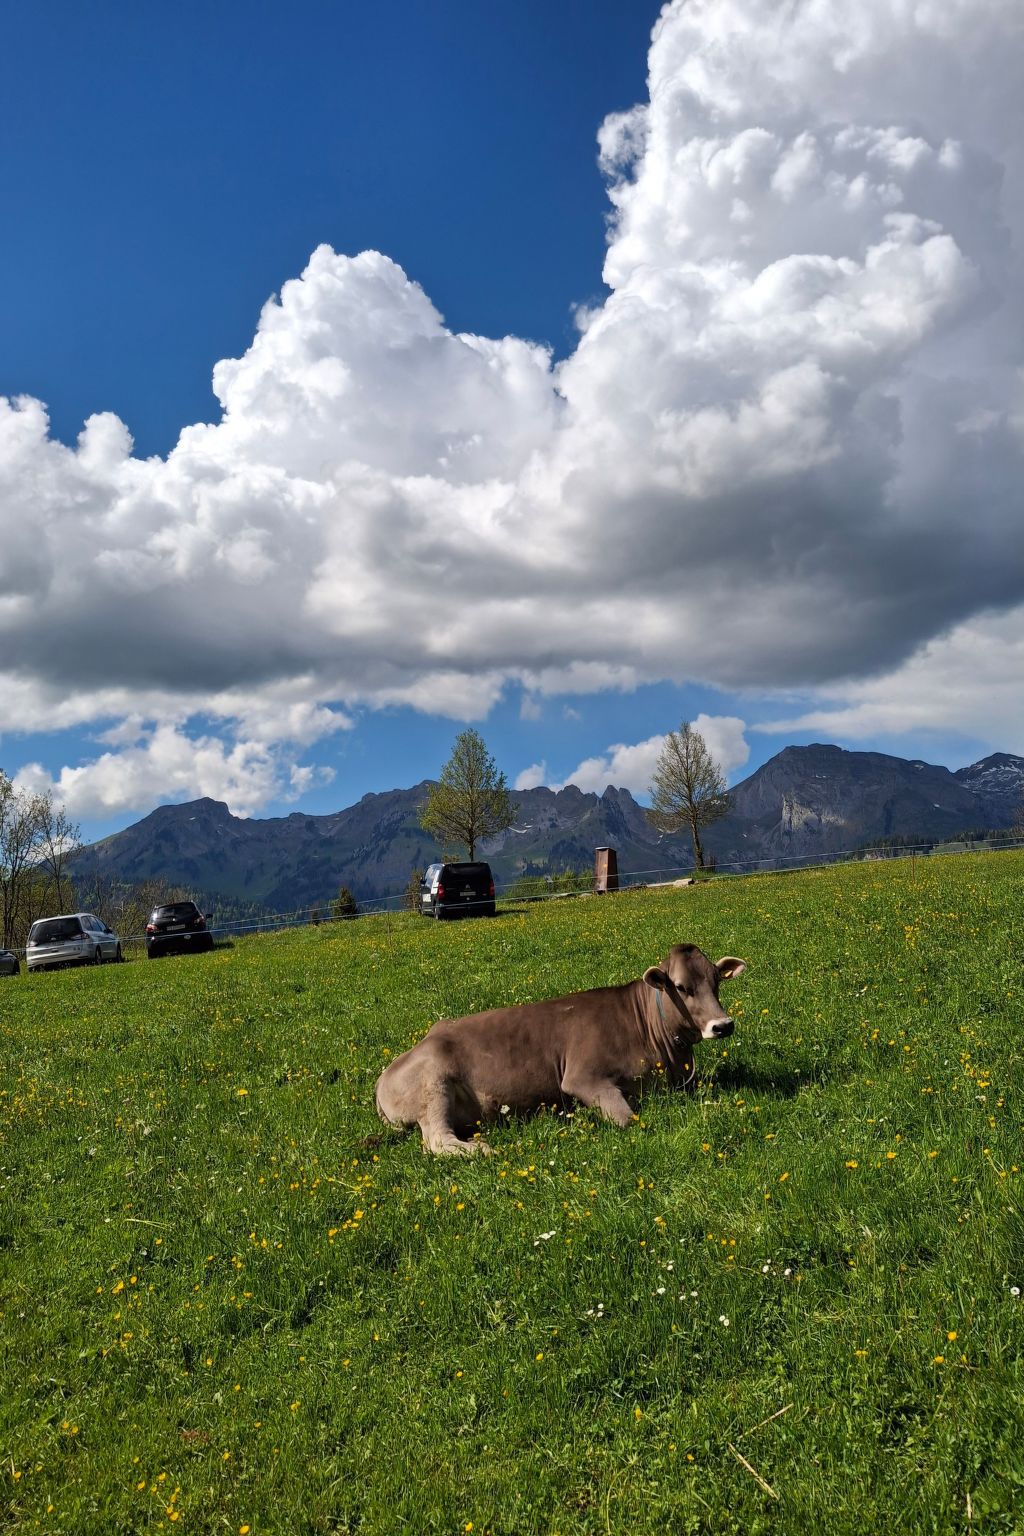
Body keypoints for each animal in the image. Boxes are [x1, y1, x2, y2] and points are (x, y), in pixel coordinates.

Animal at [375, 944, 746, 1155]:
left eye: (716, 981)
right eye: (681, 987)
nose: (723, 1025)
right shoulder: (583, 1077)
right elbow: (630, 1120)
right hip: (433, 1086)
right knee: (437, 1141)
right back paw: (482, 1150)